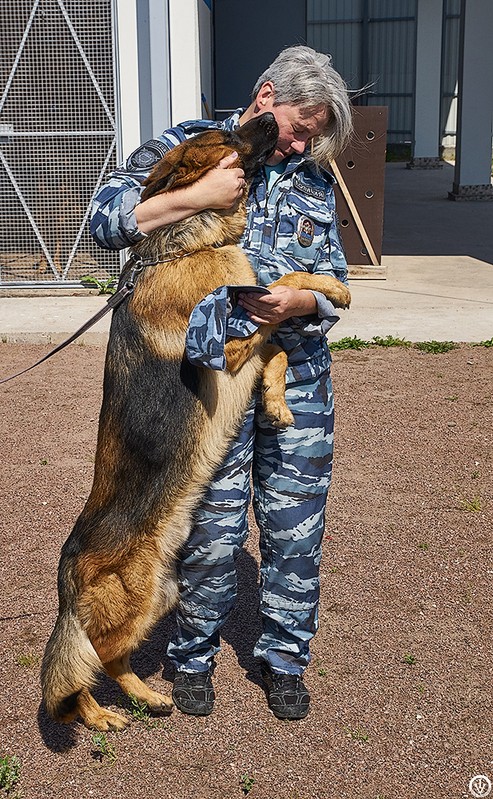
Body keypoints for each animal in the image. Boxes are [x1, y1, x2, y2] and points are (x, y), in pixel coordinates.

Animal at [41, 112, 350, 732]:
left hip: (161, 595)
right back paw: (103, 715)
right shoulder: (223, 344)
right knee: (90, 663)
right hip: (137, 602)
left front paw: (279, 402)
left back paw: (147, 697)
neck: (189, 241)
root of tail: (69, 561)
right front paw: (332, 288)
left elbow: (279, 337)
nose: (268, 116)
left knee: (105, 660)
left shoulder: (248, 345)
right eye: (227, 139)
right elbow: (280, 286)